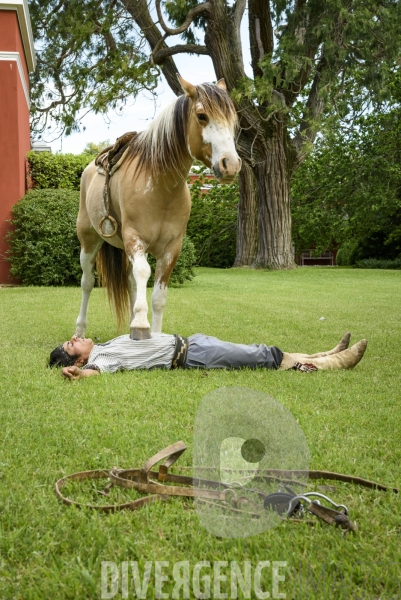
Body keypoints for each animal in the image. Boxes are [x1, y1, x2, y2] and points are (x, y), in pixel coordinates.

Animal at [75, 75, 241, 340]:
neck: (161, 187)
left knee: (130, 282)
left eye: (233, 119)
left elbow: (158, 297)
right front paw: (141, 323)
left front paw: (153, 334)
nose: (231, 165)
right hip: (89, 241)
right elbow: (144, 273)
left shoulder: (171, 250)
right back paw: (80, 331)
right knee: (87, 282)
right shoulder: (135, 239)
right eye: (202, 116)